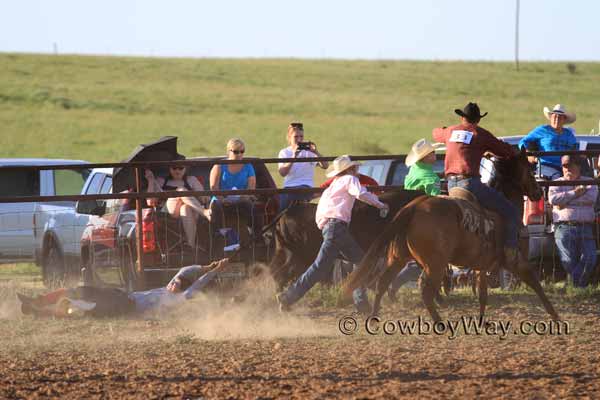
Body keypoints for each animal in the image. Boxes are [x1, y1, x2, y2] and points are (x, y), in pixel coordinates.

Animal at [344, 148, 560, 324]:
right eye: (530, 171)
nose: (538, 192)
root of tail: (414, 206)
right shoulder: (515, 258)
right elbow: (534, 281)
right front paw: (555, 315)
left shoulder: (481, 265)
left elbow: (482, 294)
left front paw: (482, 322)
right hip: (435, 263)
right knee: (425, 290)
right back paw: (440, 322)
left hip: (399, 257)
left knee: (383, 283)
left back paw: (374, 317)